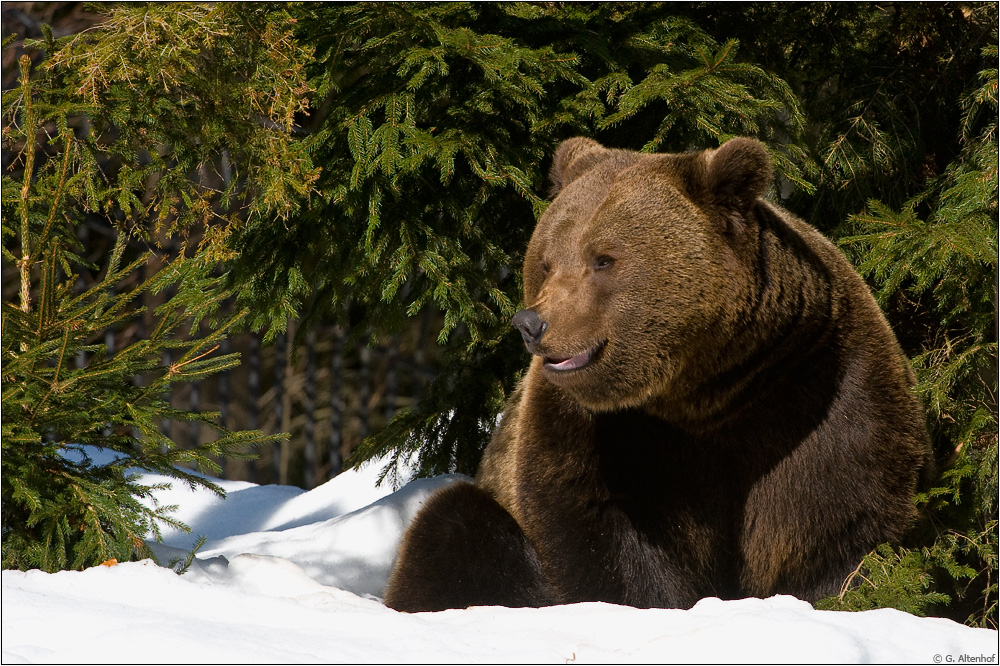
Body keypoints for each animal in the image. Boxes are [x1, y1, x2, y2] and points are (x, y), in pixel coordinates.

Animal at [380, 136, 928, 612]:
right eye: (546, 260)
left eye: (603, 259)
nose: (532, 323)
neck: (704, 391)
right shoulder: (602, 433)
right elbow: (596, 533)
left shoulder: (815, 391)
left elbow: (839, 520)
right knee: (452, 526)